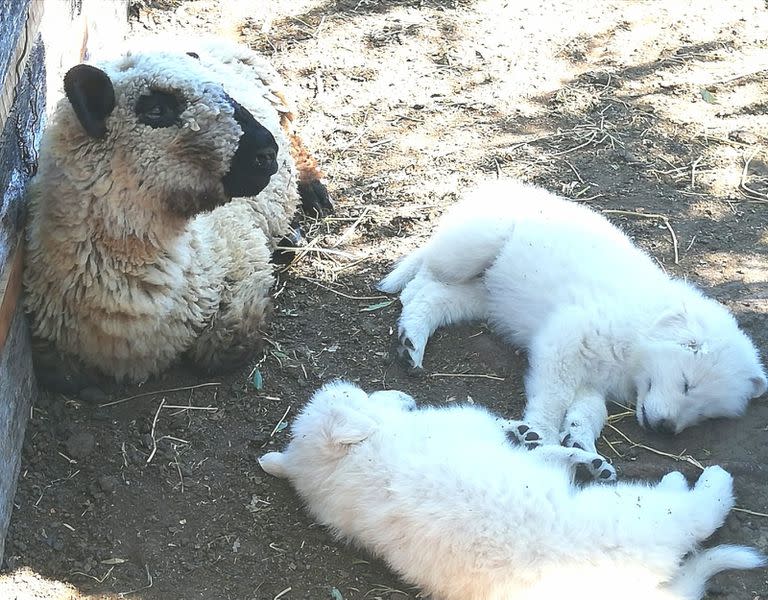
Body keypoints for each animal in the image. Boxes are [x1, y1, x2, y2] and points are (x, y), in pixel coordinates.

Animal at [23, 37, 330, 386]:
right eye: (157, 110)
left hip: (278, 103)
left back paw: (313, 195)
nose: (267, 152)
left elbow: (222, 348)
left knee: (296, 137)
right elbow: (63, 375)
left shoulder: (244, 265)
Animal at [260, 380, 764, 600]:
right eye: (364, 396)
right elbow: (540, 454)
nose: (405, 397)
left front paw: (570, 454)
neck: (345, 464)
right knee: (697, 513)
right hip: (645, 516)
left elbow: (543, 452)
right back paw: (700, 479)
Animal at [380, 180, 768, 452]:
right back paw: (409, 308)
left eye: (705, 412)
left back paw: (411, 342)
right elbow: (554, 396)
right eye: (687, 383)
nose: (665, 429)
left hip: (487, 296)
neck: (640, 333)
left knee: (437, 298)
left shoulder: (594, 380)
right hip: (473, 246)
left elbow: (590, 410)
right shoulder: (565, 341)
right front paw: (540, 434)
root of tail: (498, 187)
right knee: (426, 276)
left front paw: (579, 442)